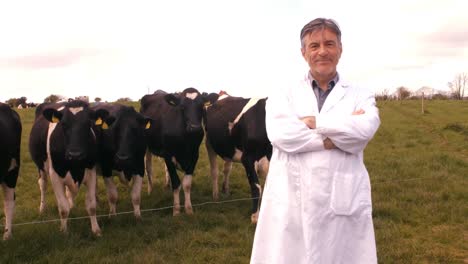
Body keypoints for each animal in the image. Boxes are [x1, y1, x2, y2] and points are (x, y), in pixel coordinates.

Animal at [29, 100, 108, 235]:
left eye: (89, 124)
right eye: (63, 124)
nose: (75, 154)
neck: (75, 166)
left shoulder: (91, 172)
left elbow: (91, 206)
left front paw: (96, 230)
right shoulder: (55, 175)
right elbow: (63, 208)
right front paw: (64, 231)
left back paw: (71, 204)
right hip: (40, 166)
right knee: (42, 184)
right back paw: (42, 208)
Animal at [140, 87, 211, 216]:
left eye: (202, 105)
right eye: (182, 107)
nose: (195, 128)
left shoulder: (194, 156)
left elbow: (187, 184)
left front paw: (189, 209)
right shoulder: (168, 155)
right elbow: (176, 183)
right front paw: (177, 210)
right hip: (146, 146)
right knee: (148, 168)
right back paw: (150, 190)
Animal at [204, 93, 270, 223]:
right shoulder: (248, 158)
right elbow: (256, 187)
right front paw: (255, 217)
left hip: (229, 148)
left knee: (227, 169)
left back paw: (225, 190)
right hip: (209, 143)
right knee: (214, 171)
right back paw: (216, 195)